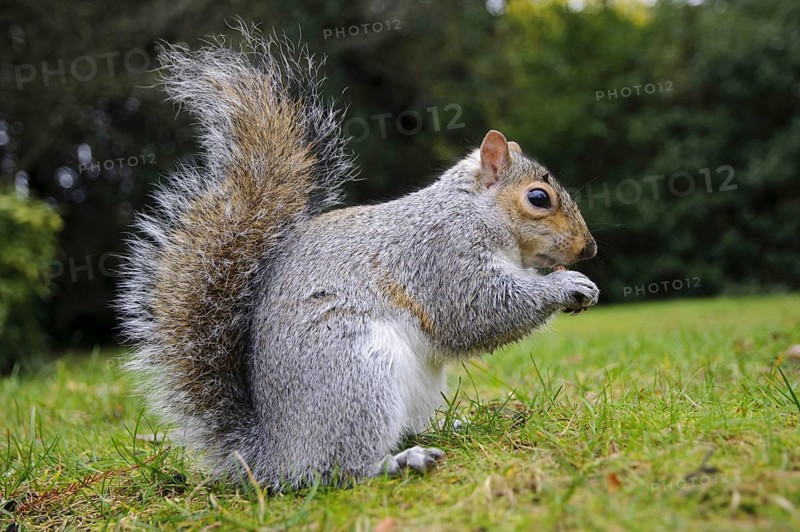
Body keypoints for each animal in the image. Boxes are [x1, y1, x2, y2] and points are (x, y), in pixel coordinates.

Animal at [118, 25, 599, 490]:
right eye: (538, 198)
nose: (589, 248)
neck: (473, 210)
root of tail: (273, 455)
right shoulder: (441, 256)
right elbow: (479, 310)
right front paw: (566, 284)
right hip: (357, 375)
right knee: (338, 469)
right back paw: (399, 462)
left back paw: (451, 426)